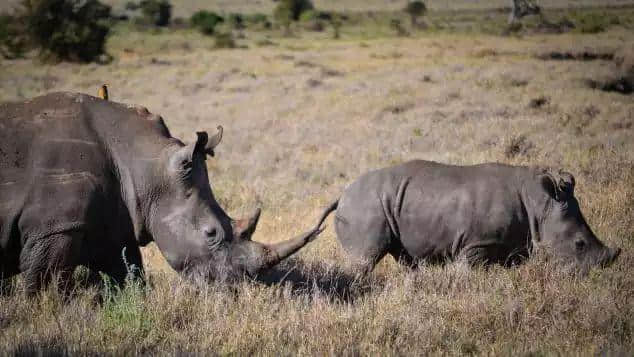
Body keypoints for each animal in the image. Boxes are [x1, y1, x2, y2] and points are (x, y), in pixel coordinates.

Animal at [334, 160, 620, 274]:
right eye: (579, 244)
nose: (597, 273)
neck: (539, 205)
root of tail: (342, 196)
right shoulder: (477, 243)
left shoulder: (514, 244)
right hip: (365, 207)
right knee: (364, 261)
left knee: (405, 258)